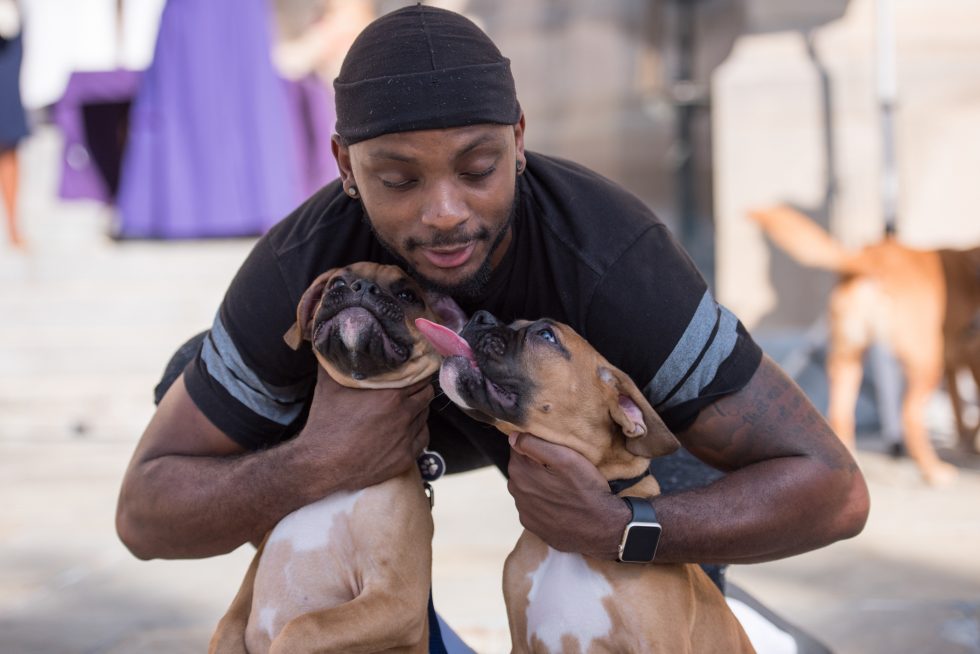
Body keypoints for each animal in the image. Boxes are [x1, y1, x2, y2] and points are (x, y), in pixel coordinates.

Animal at [208, 262, 468, 654]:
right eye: (336, 282)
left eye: (408, 294)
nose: (361, 288)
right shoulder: (244, 594)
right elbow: (224, 631)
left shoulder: (396, 598)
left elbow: (304, 626)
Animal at [752, 206, 980, 486]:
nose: (972, 324)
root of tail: (870, 258)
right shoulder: (967, 360)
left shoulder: (957, 362)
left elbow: (959, 407)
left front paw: (966, 442)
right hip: (925, 362)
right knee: (909, 417)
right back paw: (933, 470)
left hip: (847, 358)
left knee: (841, 414)